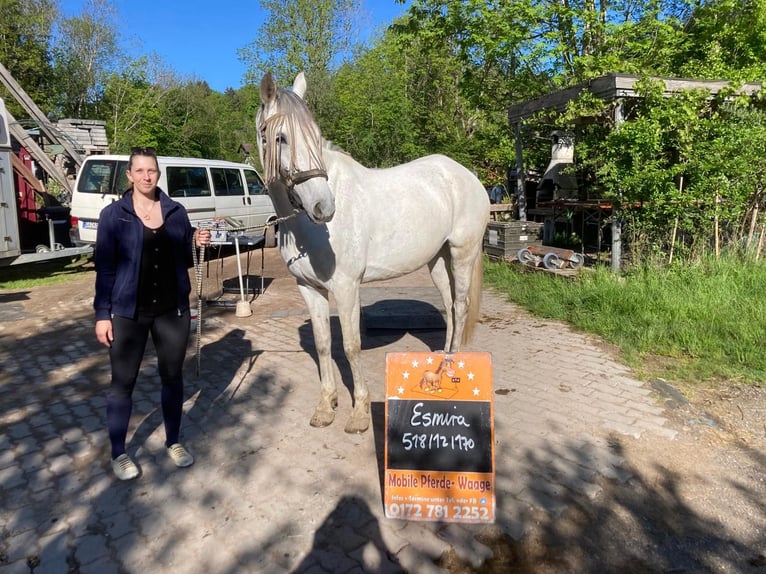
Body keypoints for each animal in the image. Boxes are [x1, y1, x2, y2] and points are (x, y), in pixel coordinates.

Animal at [256, 72, 490, 434]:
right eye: (280, 138)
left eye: (316, 137)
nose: (324, 207)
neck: (304, 226)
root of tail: (467, 176)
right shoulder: (308, 288)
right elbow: (323, 344)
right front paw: (326, 406)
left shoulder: (346, 288)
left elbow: (351, 347)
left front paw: (359, 413)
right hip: (437, 261)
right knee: (451, 308)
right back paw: (438, 369)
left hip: (462, 254)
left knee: (461, 307)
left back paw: (451, 367)